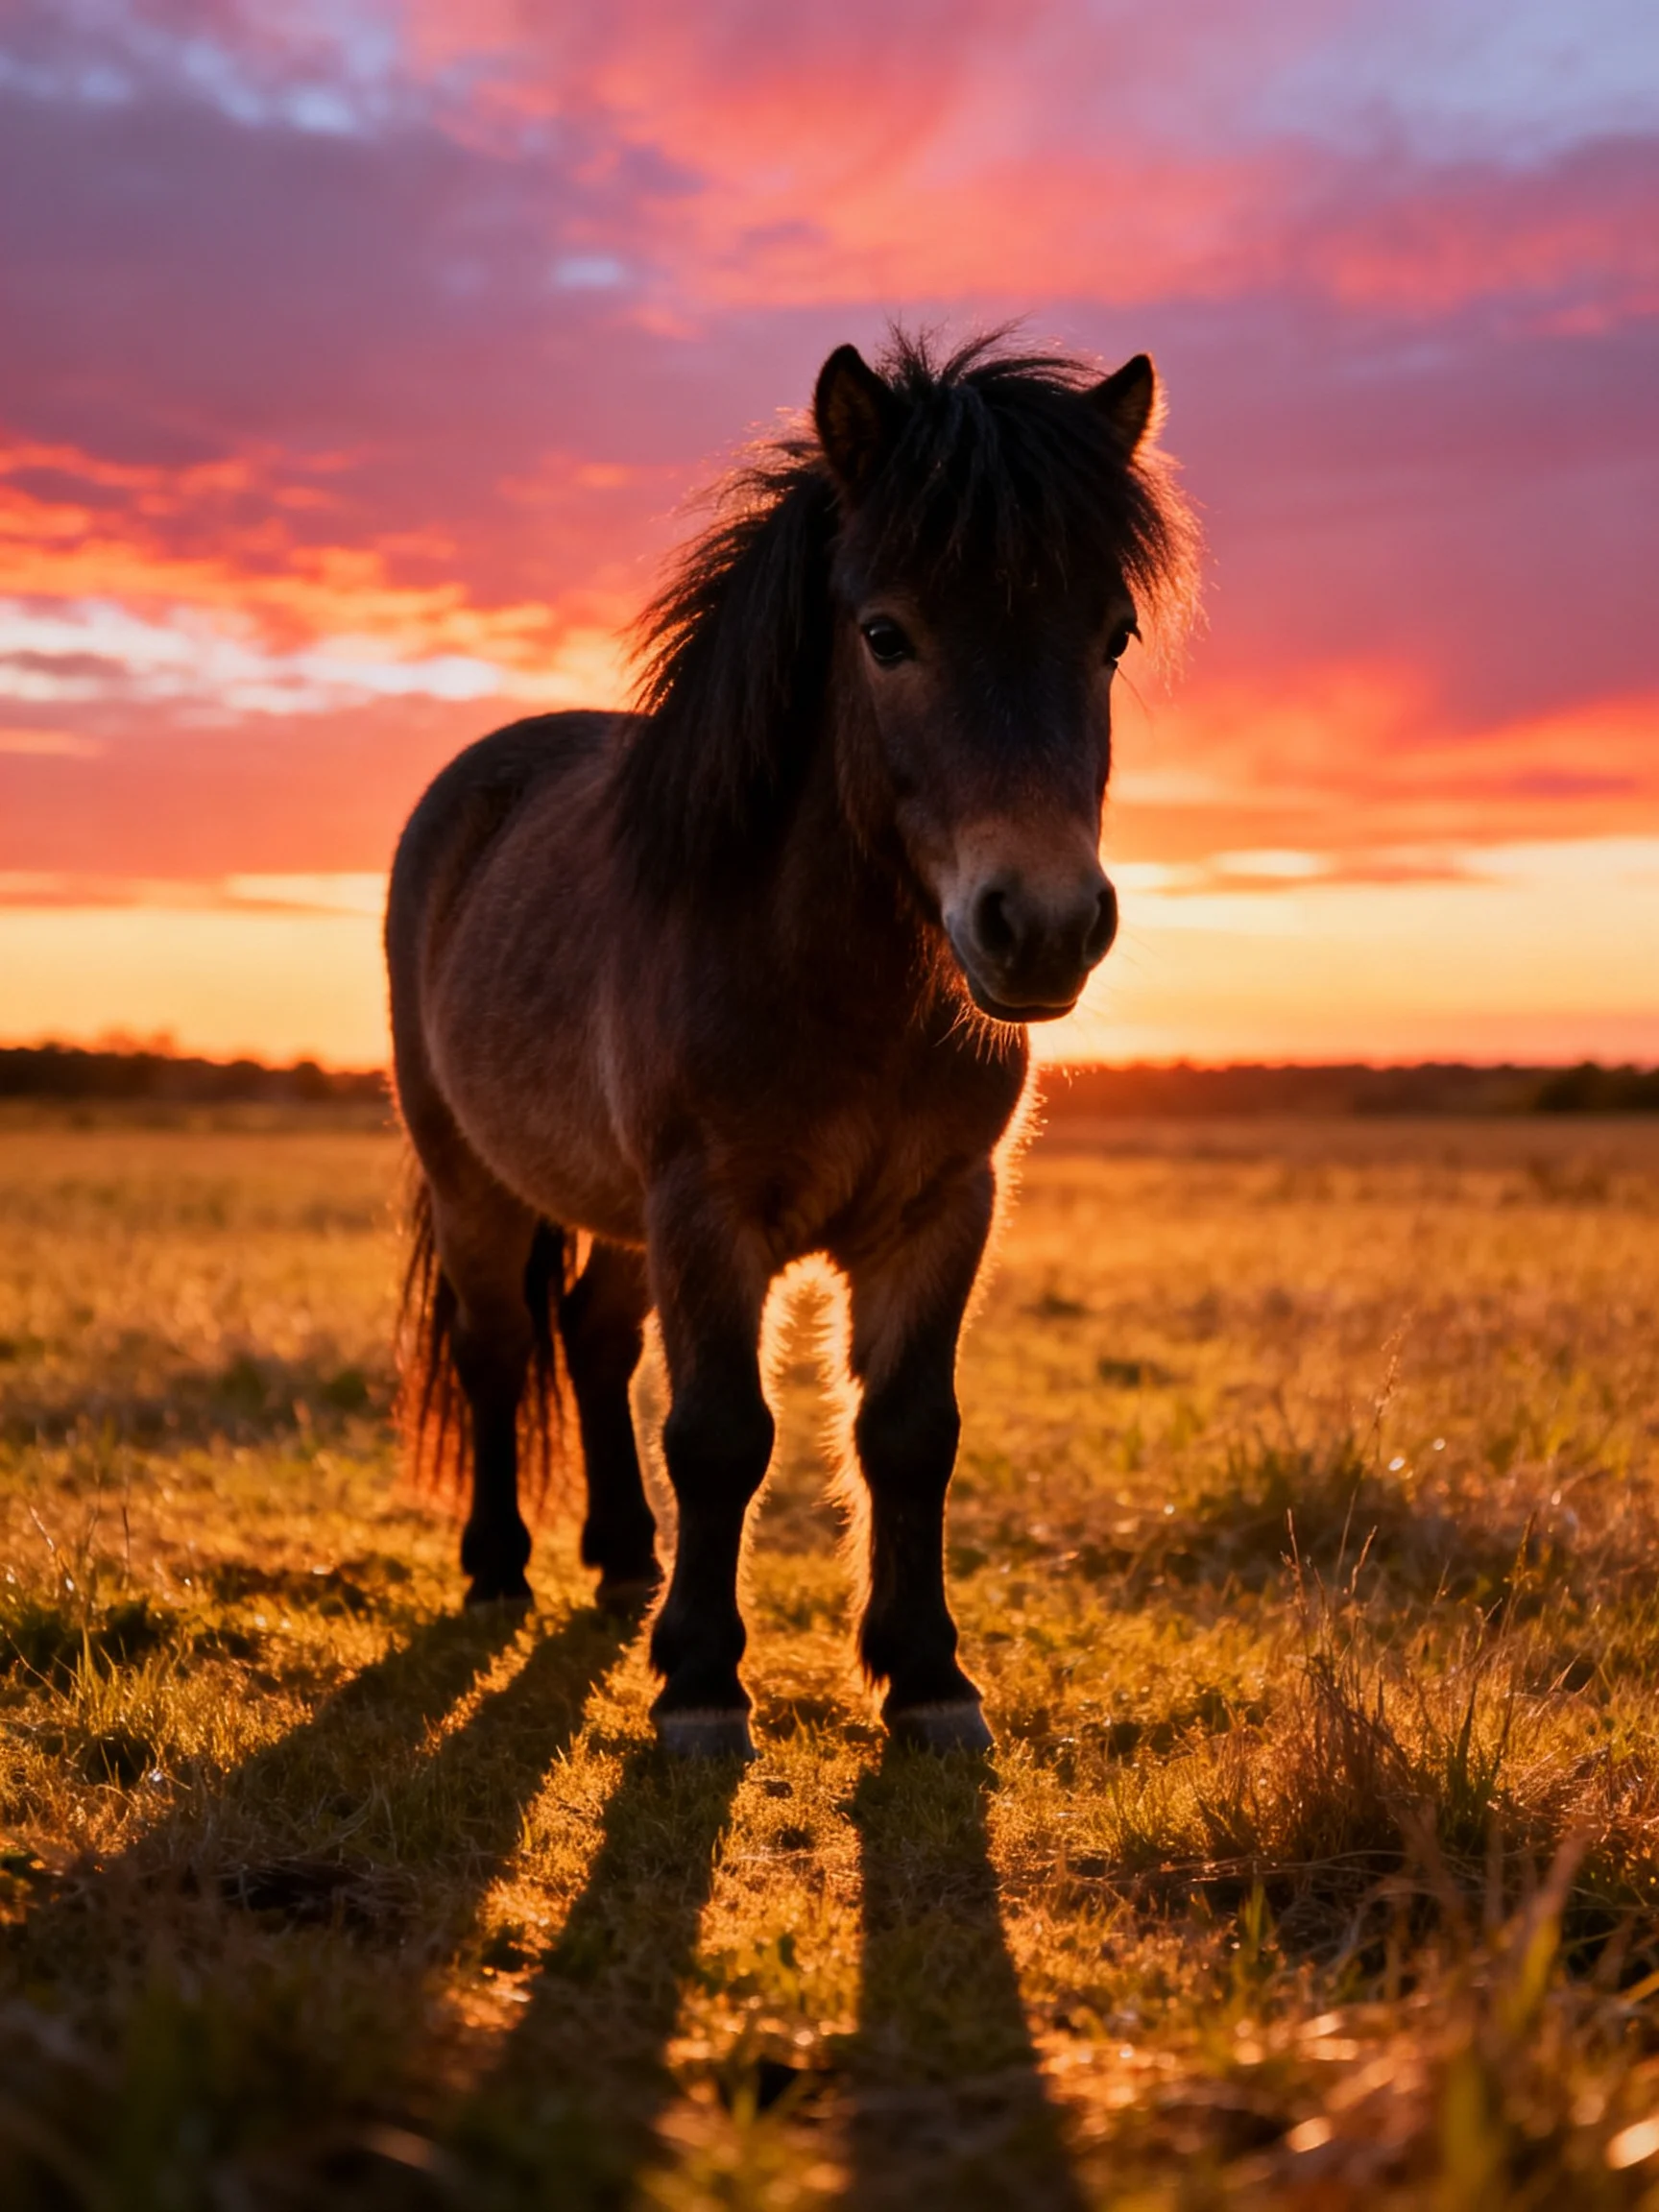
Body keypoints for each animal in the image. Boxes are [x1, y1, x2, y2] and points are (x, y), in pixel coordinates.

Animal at [387, 331, 1197, 1759]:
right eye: (885, 634)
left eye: (1112, 634)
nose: (1042, 925)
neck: (838, 985)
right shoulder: (711, 1209)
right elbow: (721, 1433)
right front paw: (703, 1684)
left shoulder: (943, 1209)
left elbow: (910, 1432)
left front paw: (928, 1675)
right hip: (473, 1176)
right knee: (497, 1350)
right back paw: (498, 1568)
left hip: (623, 1213)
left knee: (594, 1341)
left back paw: (623, 1560)